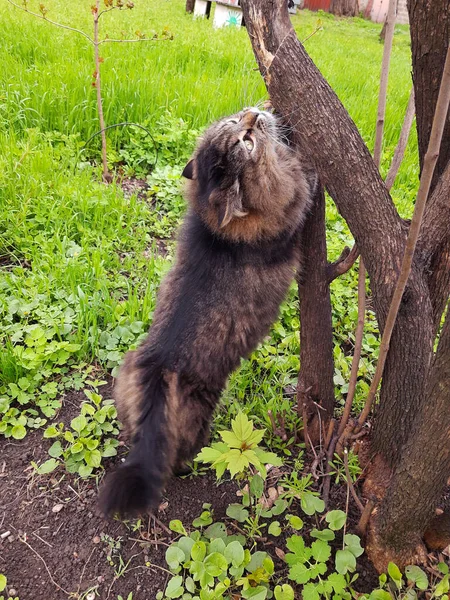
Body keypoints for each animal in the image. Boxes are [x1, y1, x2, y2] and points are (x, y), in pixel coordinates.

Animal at [98, 106, 316, 516]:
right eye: (244, 140)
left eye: (237, 125)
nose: (250, 114)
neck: (217, 228)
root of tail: (159, 370)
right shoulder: (292, 213)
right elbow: (304, 187)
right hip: (200, 415)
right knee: (176, 458)